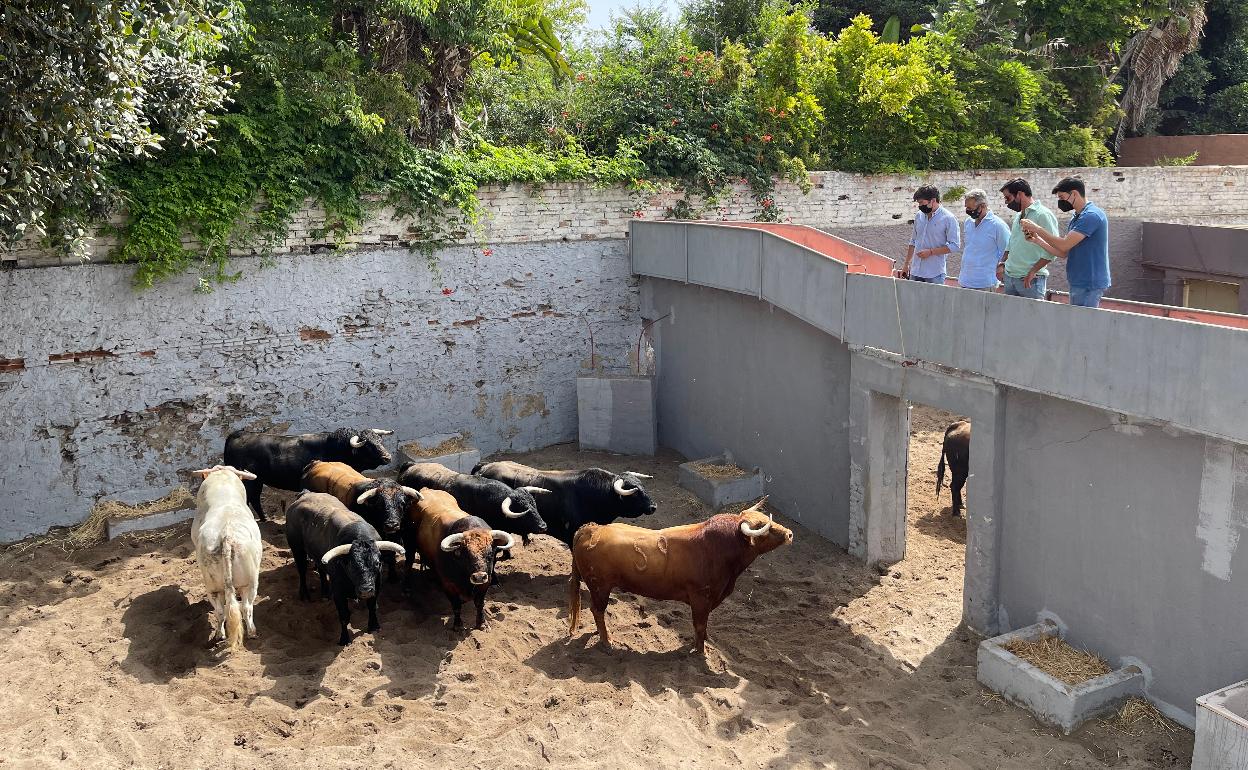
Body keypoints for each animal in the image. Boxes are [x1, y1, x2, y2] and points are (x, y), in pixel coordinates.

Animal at [189, 461, 263, 648]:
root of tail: (226, 535)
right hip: (251, 582)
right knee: (246, 607)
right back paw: (251, 632)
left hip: (213, 586)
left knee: (222, 610)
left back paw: (219, 635)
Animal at [566, 496, 788, 653]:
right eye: (762, 528)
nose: (790, 534)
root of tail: (591, 529)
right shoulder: (700, 598)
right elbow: (700, 624)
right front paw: (700, 650)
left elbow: (704, 626)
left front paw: (705, 641)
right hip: (600, 587)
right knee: (597, 610)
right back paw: (607, 641)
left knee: (597, 611)